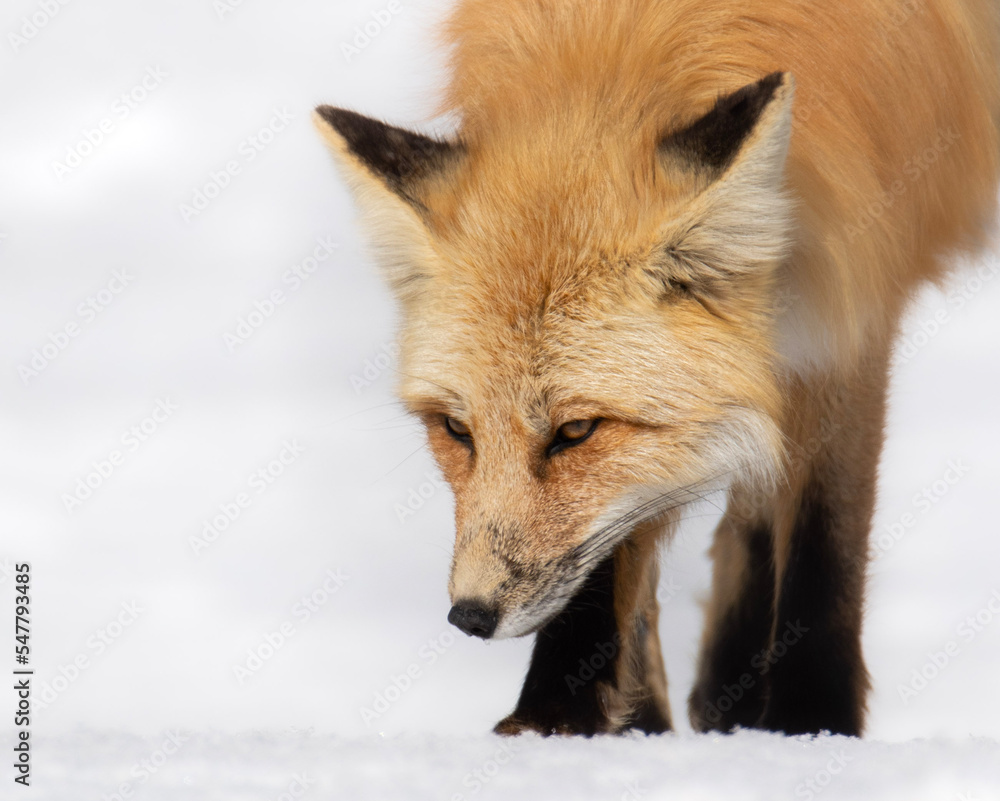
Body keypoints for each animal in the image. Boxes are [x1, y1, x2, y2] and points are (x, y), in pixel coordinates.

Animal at [315, 0, 1000, 737]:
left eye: (576, 431)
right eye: (455, 430)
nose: (470, 616)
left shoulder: (855, 286)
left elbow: (825, 525)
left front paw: (811, 725)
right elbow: (618, 545)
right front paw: (560, 712)